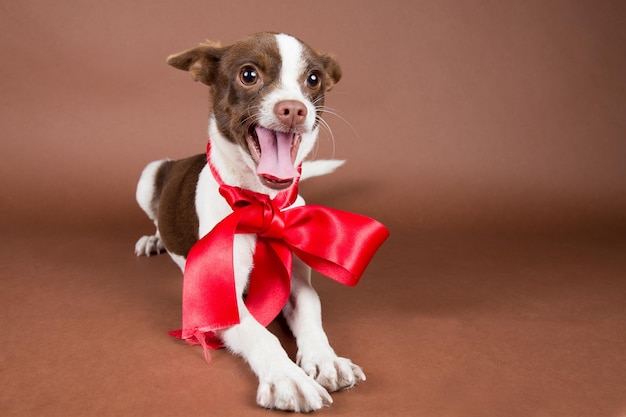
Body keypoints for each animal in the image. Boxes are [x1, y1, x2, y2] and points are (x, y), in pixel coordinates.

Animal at [133, 31, 364, 410]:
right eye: (249, 75)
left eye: (313, 79)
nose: (294, 108)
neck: (261, 203)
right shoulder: (217, 300)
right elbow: (261, 334)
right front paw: (287, 378)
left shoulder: (298, 286)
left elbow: (312, 314)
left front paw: (325, 359)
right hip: (149, 173)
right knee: (154, 216)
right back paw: (154, 239)